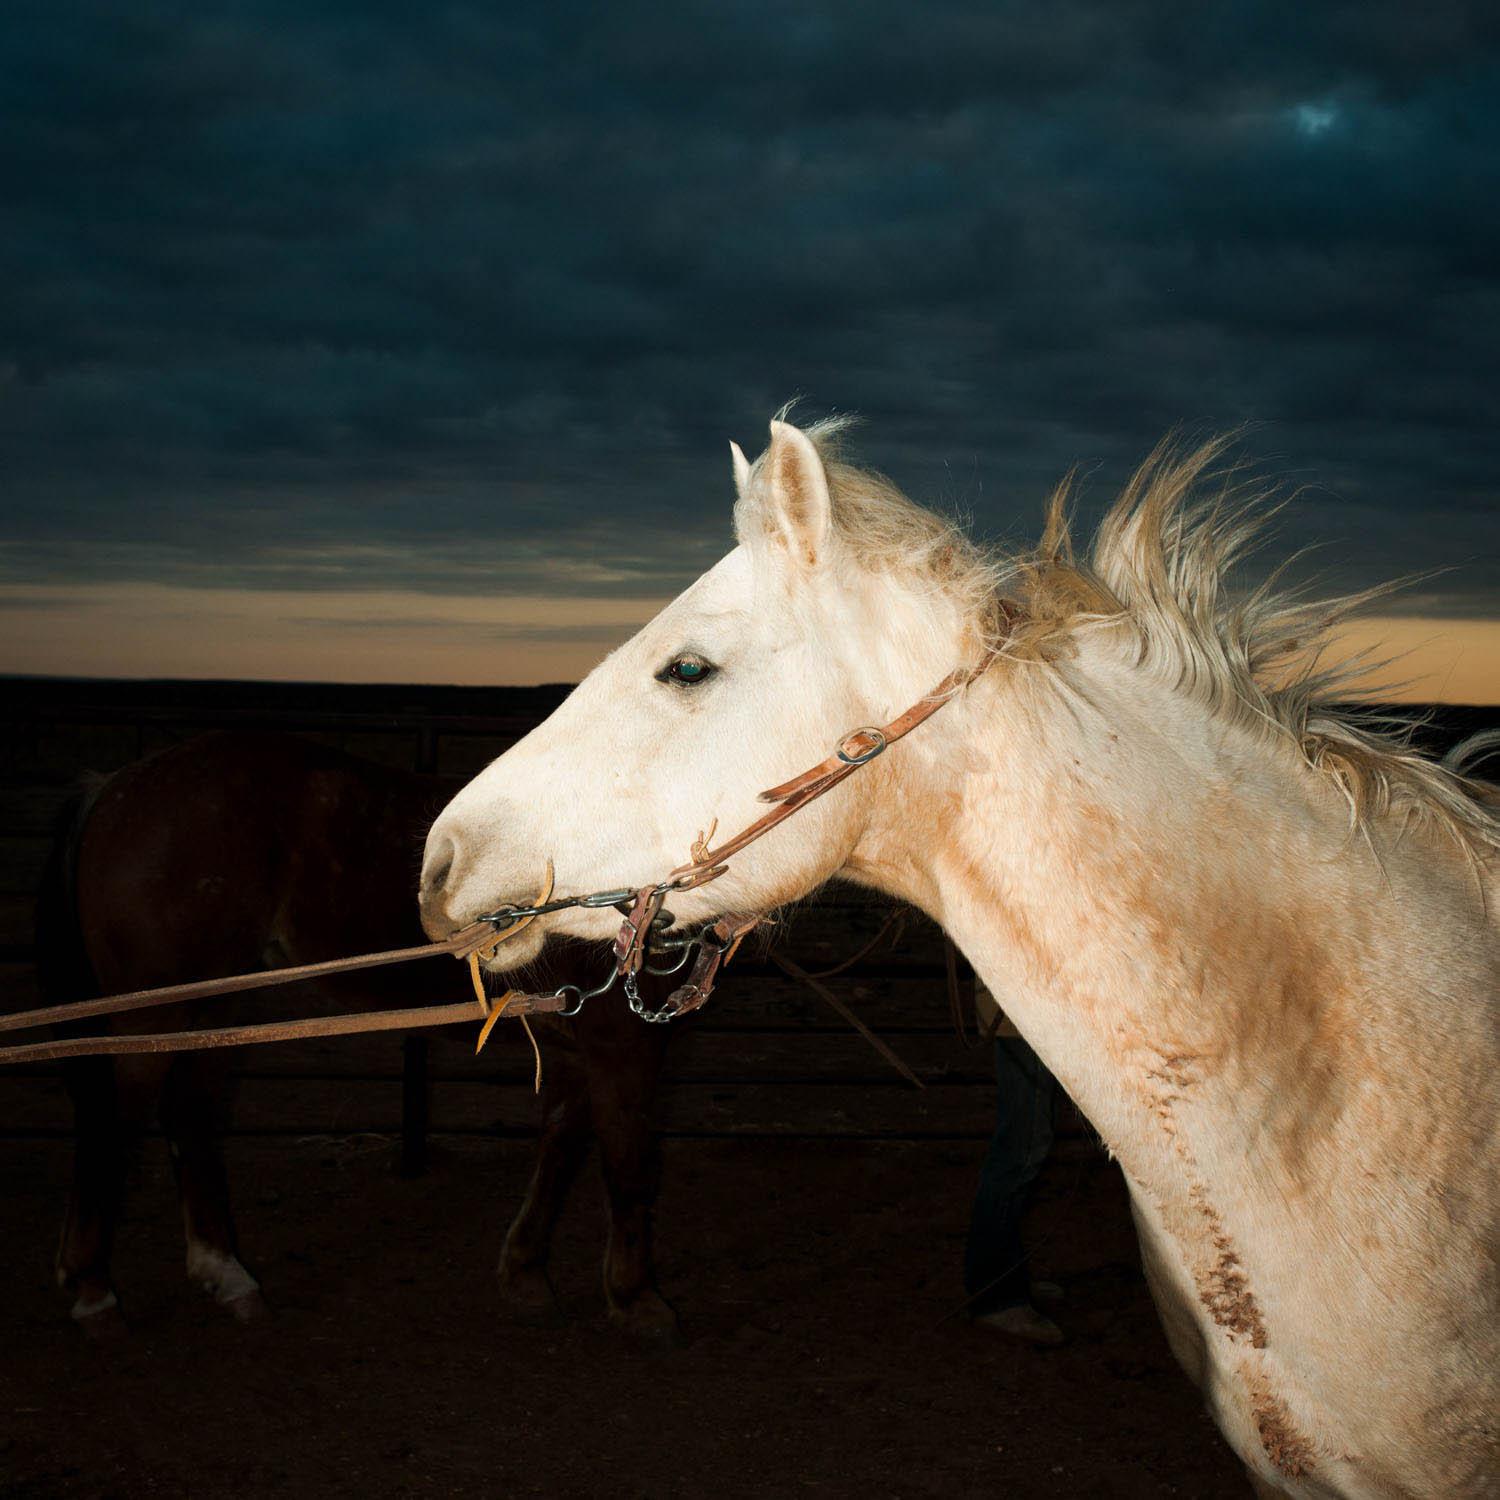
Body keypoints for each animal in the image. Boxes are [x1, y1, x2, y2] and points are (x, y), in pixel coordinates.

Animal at [36, 726, 687, 1338]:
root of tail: (116, 784)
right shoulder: (624, 1042)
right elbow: (629, 1162)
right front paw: (637, 1299)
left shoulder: (581, 1046)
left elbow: (562, 1149)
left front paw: (526, 1273)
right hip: (154, 1019)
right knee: (112, 1122)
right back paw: (94, 1291)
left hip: (212, 1014)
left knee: (189, 1114)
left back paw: (226, 1275)